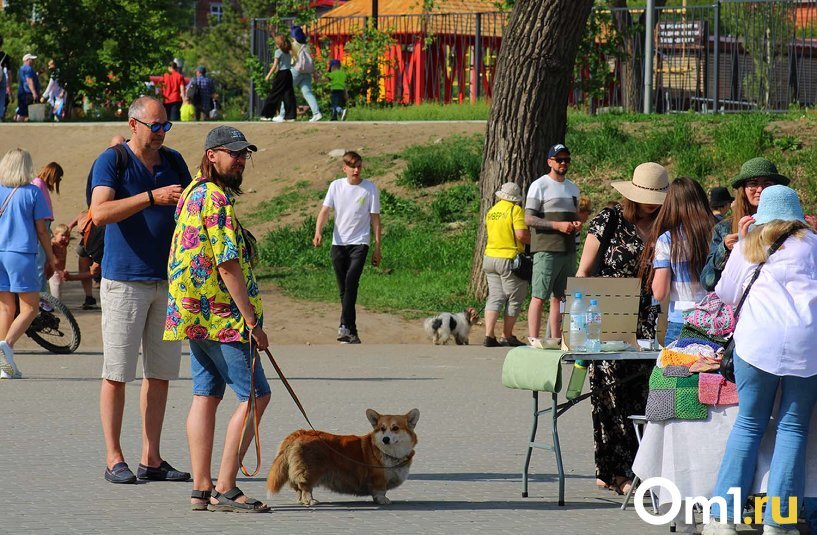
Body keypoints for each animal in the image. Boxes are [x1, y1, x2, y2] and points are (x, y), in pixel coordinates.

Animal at [268, 410, 420, 506]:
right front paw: (382, 500)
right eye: (382, 429)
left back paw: (301, 501)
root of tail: (301, 433)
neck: (389, 452)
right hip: (310, 471)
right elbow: (380, 491)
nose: (385, 439)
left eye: (395, 428)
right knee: (305, 487)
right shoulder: (378, 478)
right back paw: (310, 500)